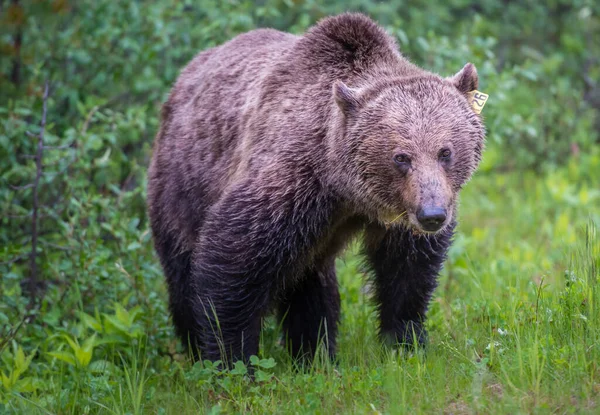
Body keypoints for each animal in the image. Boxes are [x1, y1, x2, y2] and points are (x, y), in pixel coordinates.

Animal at [148, 13, 486, 366]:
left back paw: (314, 354)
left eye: (445, 152)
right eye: (401, 157)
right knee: (182, 271)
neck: (347, 192)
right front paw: (233, 358)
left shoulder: (395, 217)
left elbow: (406, 272)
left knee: (311, 285)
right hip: (181, 186)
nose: (432, 215)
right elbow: (233, 258)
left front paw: (405, 341)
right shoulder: (292, 183)